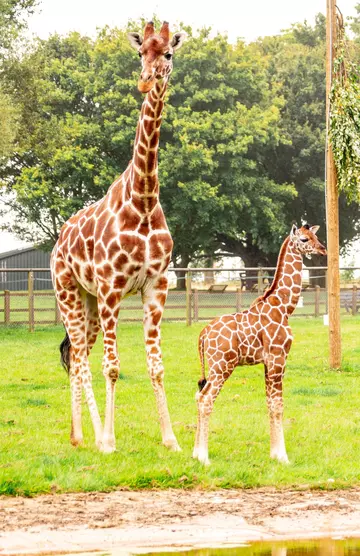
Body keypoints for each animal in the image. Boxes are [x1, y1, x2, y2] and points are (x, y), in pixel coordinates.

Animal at [50, 23, 184, 454]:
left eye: (168, 54)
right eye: (140, 52)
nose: (145, 80)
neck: (143, 199)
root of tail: (57, 244)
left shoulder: (156, 285)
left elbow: (156, 366)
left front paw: (171, 439)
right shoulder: (112, 287)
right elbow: (112, 366)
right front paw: (109, 438)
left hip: (89, 303)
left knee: (77, 358)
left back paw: (77, 435)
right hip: (70, 294)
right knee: (81, 359)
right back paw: (94, 437)